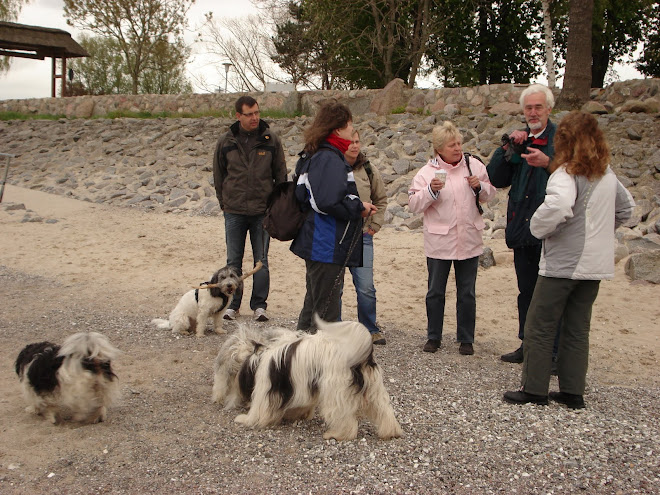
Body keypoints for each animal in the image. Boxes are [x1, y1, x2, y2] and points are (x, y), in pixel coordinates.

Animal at [211, 318, 402, 442]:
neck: (256, 358)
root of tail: (361, 354)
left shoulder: (265, 390)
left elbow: (258, 411)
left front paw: (245, 419)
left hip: (335, 392)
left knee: (346, 421)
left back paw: (336, 435)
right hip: (373, 389)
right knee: (383, 411)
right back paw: (390, 432)